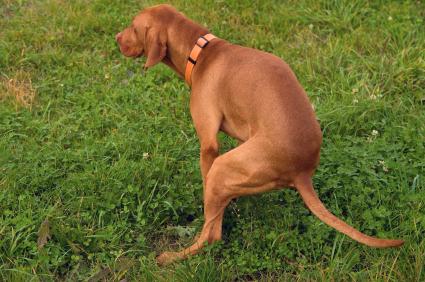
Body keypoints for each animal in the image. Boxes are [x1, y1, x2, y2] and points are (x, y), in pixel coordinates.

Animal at [114, 4, 402, 266]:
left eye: (133, 27)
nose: (116, 38)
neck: (202, 52)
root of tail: (302, 173)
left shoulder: (208, 145)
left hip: (222, 167)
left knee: (212, 235)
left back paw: (173, 257)